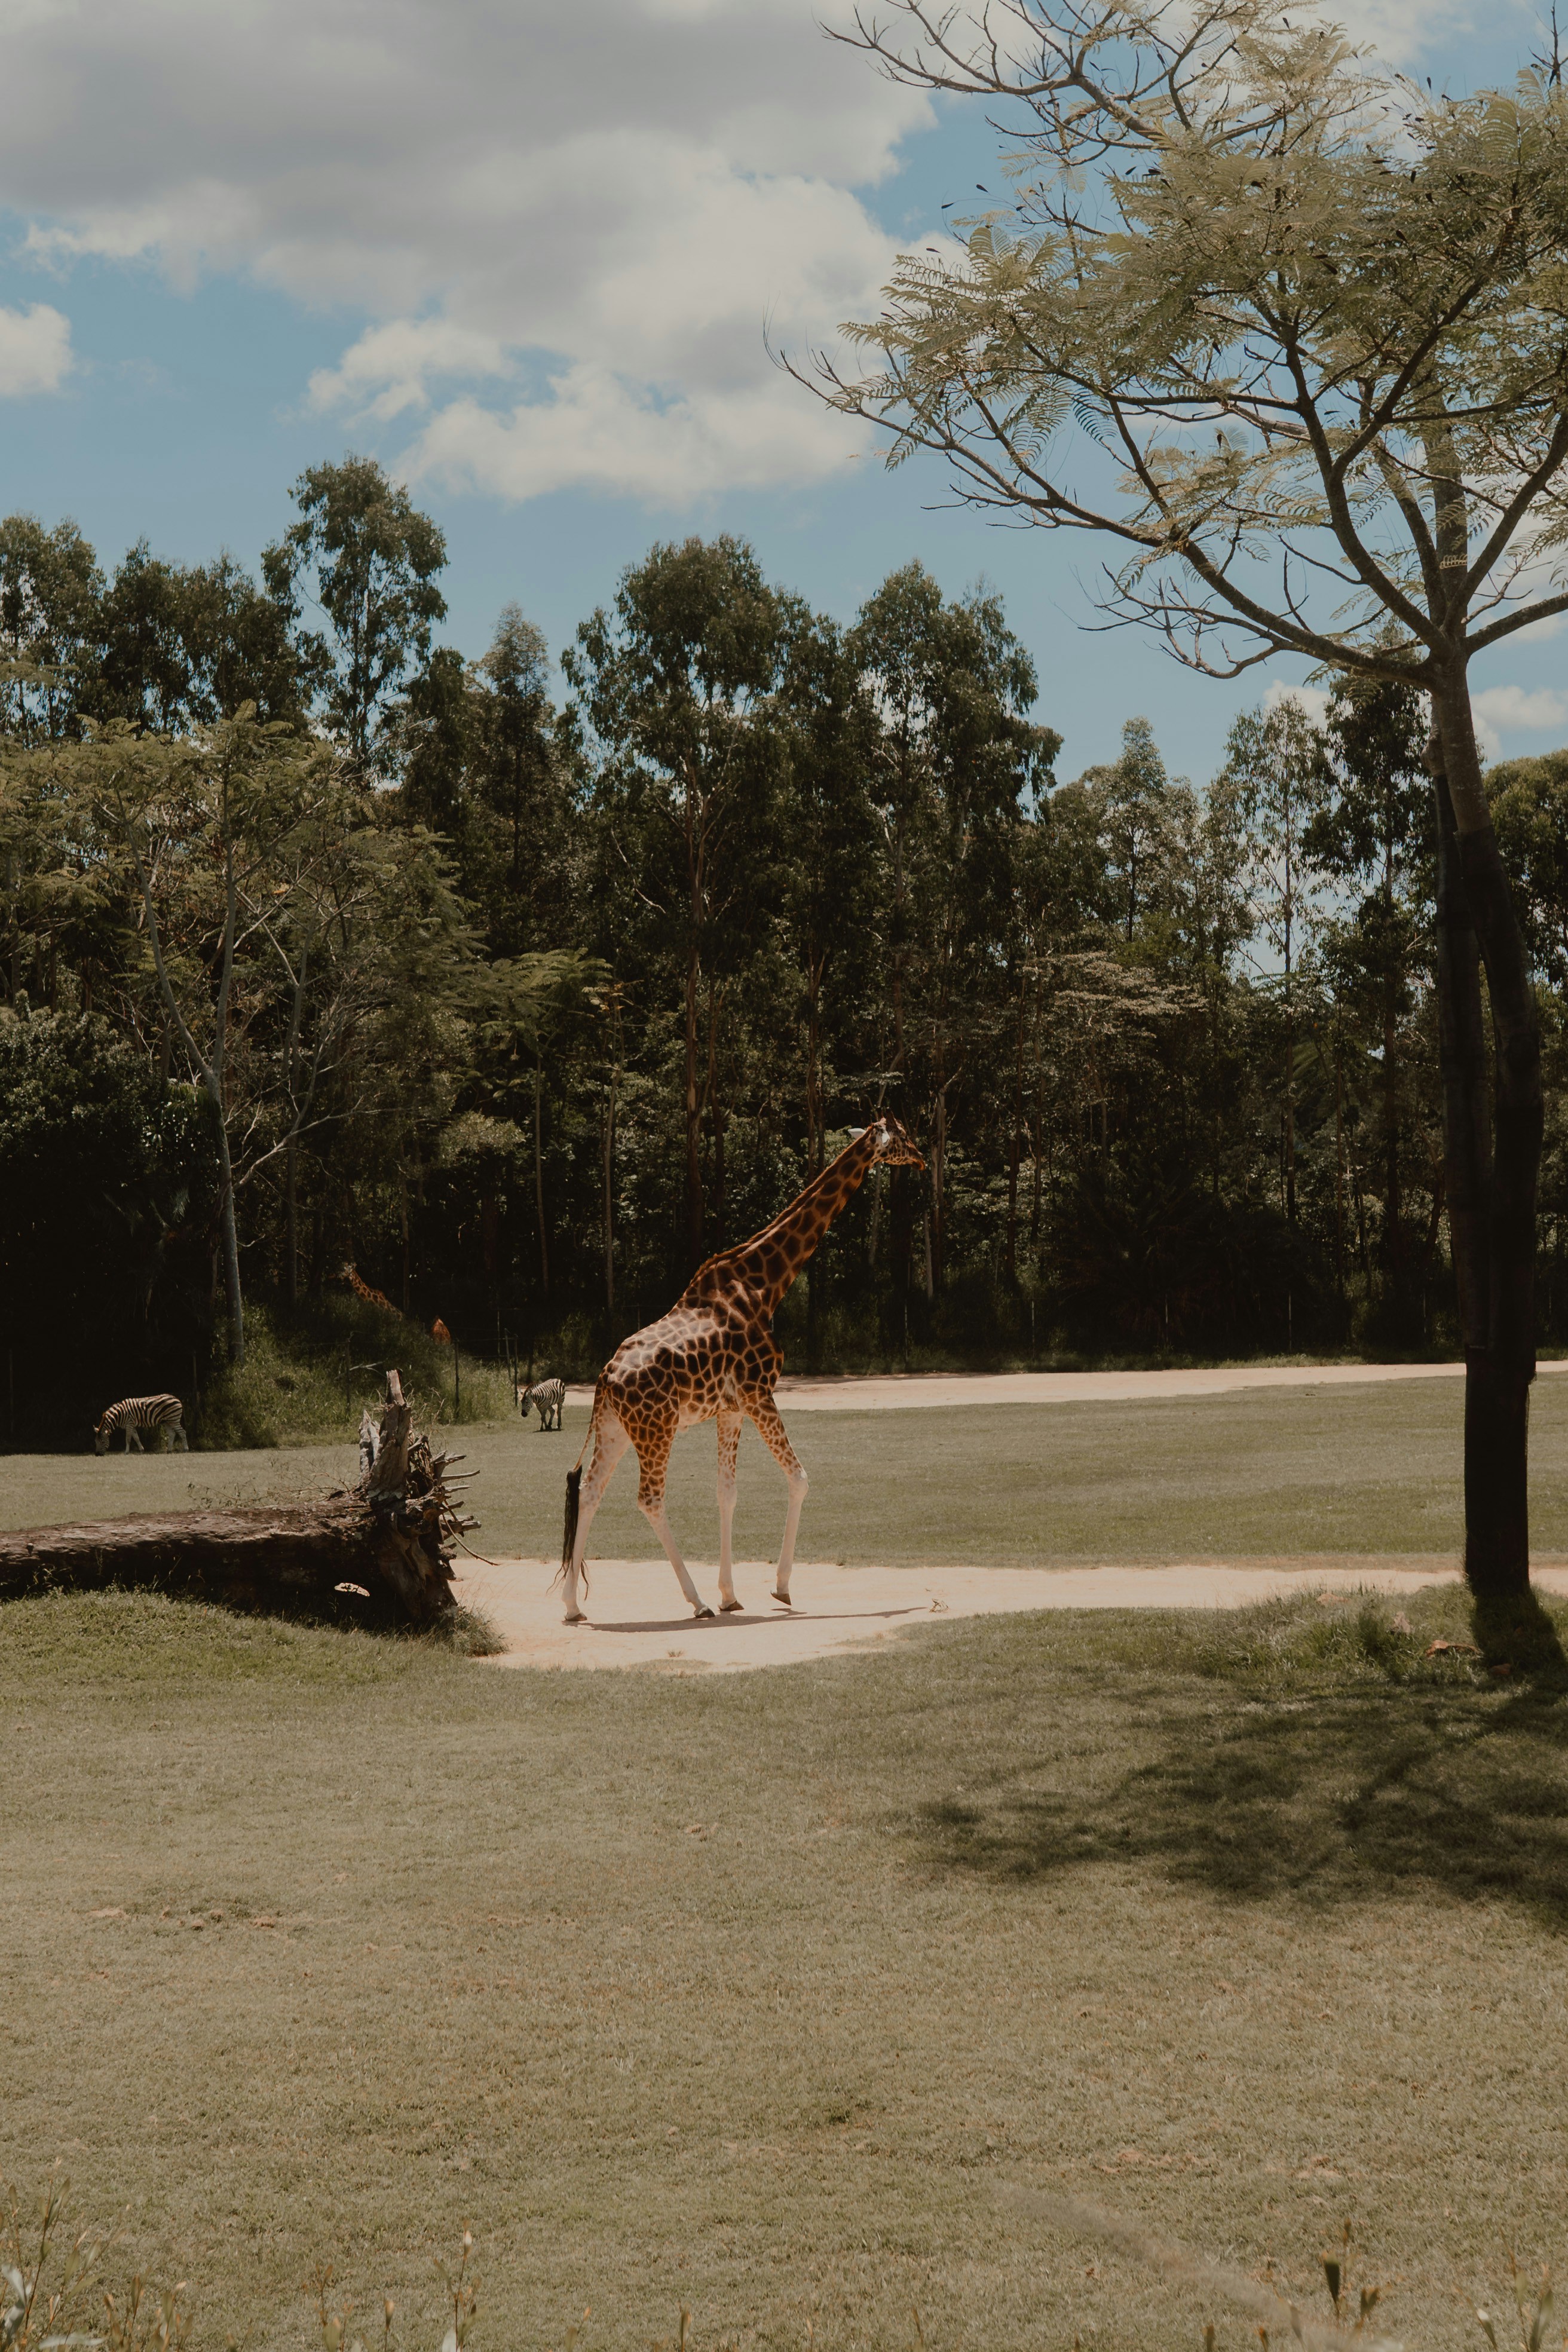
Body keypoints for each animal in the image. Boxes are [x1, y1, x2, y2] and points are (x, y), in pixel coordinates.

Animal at [559, 1114, 925, 1624]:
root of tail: (604, 1380)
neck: (765, 1284)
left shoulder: (730, 1407)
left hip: (616, 1429)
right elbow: (800, 1478)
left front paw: (731, 1594)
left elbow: (727, 1492)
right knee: (649, 1498)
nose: (924, 1157)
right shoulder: (758, 1392)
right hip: (657, 1429)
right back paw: (694, 1602)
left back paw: (573, 1606)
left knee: (590, 1490)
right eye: (903, 1136)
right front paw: (780, 1587)